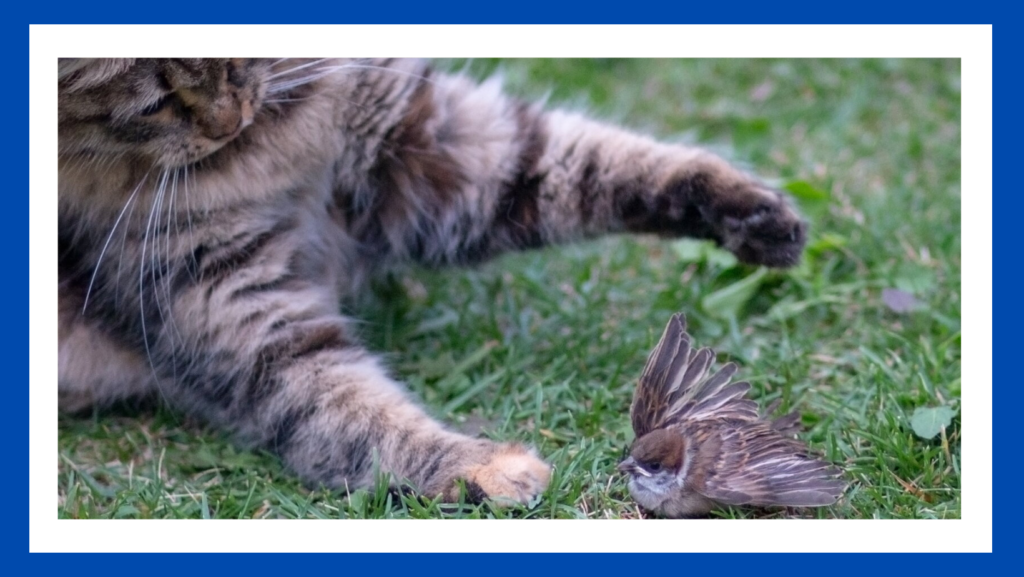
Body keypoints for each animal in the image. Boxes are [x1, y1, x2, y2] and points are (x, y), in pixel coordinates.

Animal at [58, 58, 806, 506]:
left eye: (244, 64)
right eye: (155, 101)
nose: (227, 120)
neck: (273, 139)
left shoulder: (425, 148)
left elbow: (588, 161)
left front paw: (750, 209)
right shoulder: (224, 302)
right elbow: (347, 407)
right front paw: (475, 466)